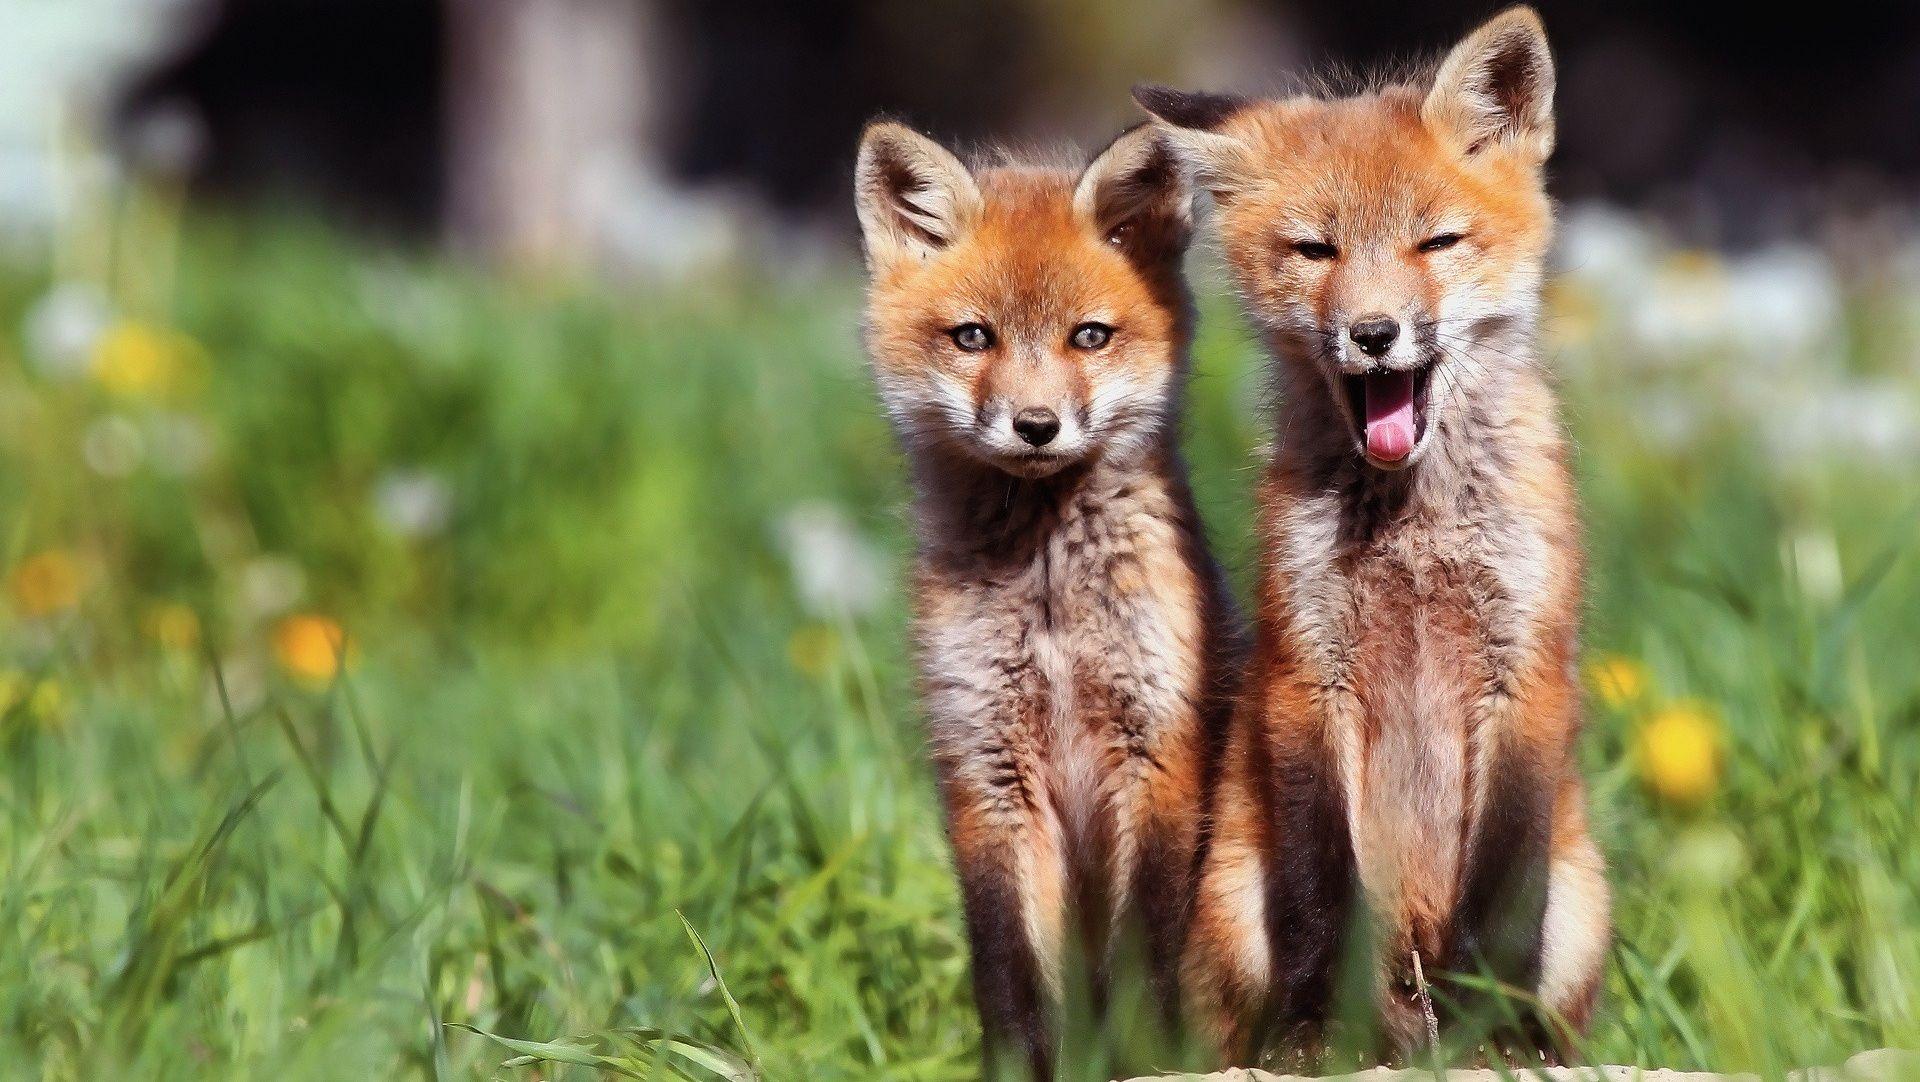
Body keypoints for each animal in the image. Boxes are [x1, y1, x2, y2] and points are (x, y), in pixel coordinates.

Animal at [853, 120, 1242, 1079]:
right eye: (973, 337)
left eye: (1089, 336)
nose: (1035, 426)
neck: (1052, 602)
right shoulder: (986, 770)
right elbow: (1009, 976)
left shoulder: (1158, 754)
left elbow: (1140, 961)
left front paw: (1140, 1058)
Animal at [1133, 5, 1610, 1065]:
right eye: (1316, 250)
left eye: (1437, 241)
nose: (1376, 333)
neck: (1414, 530)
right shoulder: (1310, 671)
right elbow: (1321, 892)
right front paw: (1319, 1027)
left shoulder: (1525, 672)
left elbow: (1499, 901)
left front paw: (1492, 1031)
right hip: (1235, 903)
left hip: (1582, 905)